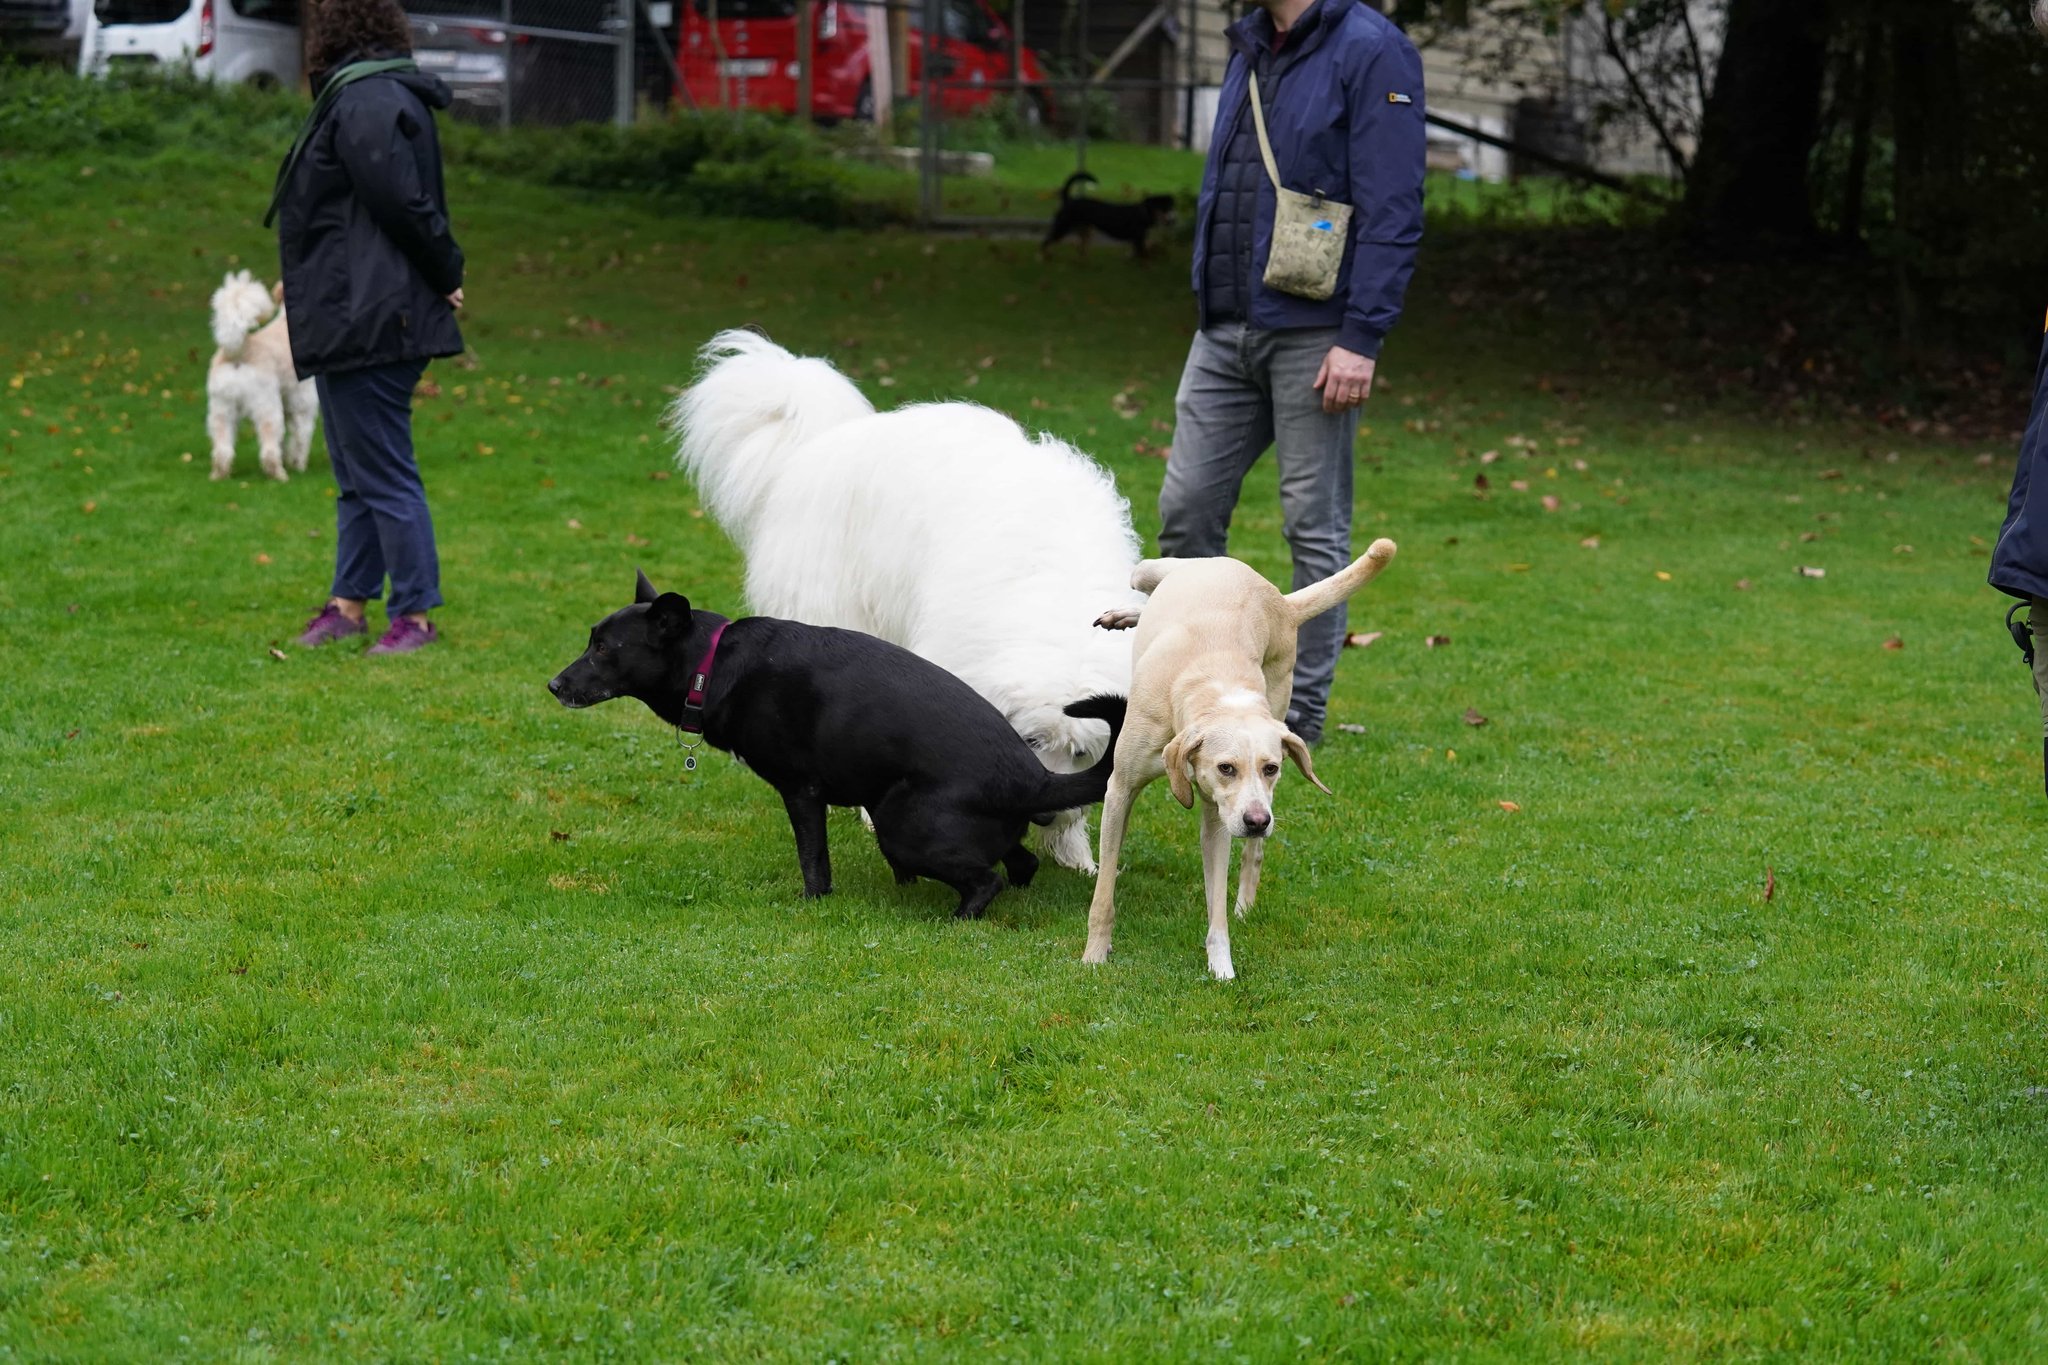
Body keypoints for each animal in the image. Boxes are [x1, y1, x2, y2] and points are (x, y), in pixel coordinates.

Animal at [205, 270, 318, 483]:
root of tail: (239, 351)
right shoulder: (302, 402)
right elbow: (301, 435)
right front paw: (298, 464)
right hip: (266, 407)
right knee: (269, 449)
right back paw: (279, 474)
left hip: (222, 409)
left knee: (223, 449)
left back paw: (220, 475)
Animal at [548, 570, 1128, 920]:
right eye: (590, 641)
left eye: (603, 649)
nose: (553, 685)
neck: (710, 664)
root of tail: (1034, 777)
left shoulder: (802, 791)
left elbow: (813, 859)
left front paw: (813, 902)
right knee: (1022, 865)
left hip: (902, 825)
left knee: (988, 882)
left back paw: (958, 920)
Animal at [671, 329, 1142, 875]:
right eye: (1031, 741)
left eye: (1082, 753)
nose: (1045, 816)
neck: (1053, 601)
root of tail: (822, 444)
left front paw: (1077, 854)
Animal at [1042, 173, 1176, 259]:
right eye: (1163, 209)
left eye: (1171, 207)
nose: (1173, 221)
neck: (1143, 213)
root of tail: (1068, 200)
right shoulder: (1139, 239)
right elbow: (1143, 256)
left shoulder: (1136, 240)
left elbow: (1134, 253)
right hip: (1063, 226)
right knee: (1047, 241)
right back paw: (1044, 257)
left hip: (1085, 229)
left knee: (1081, 246)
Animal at [1083, 540, 1398, 980]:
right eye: (1225, 768)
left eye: (1272, 768)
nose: (1257, 822)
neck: (1217, 685)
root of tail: (1281, 601)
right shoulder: (1120, 790)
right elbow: (1104, 890)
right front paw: (1094, 954)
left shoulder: (1221, 820)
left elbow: (1217, 904)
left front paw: (1221, 967)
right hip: (1148, 570)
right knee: (1144, 584)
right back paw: (1128, 614)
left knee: (1255, 853)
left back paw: (1246, 901)